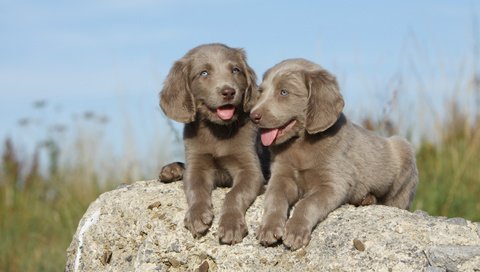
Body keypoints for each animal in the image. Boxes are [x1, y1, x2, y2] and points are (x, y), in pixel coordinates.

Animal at [249, 58, 418, 250]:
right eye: (261, 92)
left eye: (284, 92)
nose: (253, 116)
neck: (301, 145)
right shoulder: (281, 176)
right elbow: (274, 198)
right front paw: (268, 228)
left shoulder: (334, 184)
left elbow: (308, 203)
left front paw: (295, 231)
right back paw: (366, 198)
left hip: (403, 155)